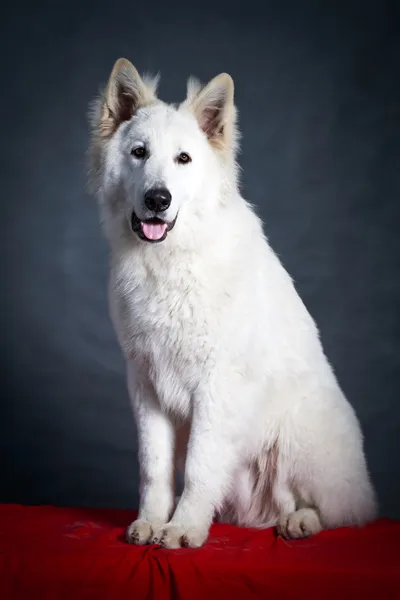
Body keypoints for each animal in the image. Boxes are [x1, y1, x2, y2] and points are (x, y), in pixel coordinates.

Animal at [88, 59, 378, 548]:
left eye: (183, 159)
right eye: (139, 153)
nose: (157, 199)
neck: (173, 259)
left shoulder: (217, 385)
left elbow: (200, 468)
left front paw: (182, 529)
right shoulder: (146, 387)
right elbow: (155, 469)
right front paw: (152, 521)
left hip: (298, 433)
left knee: (347, 511)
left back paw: (301, 522)